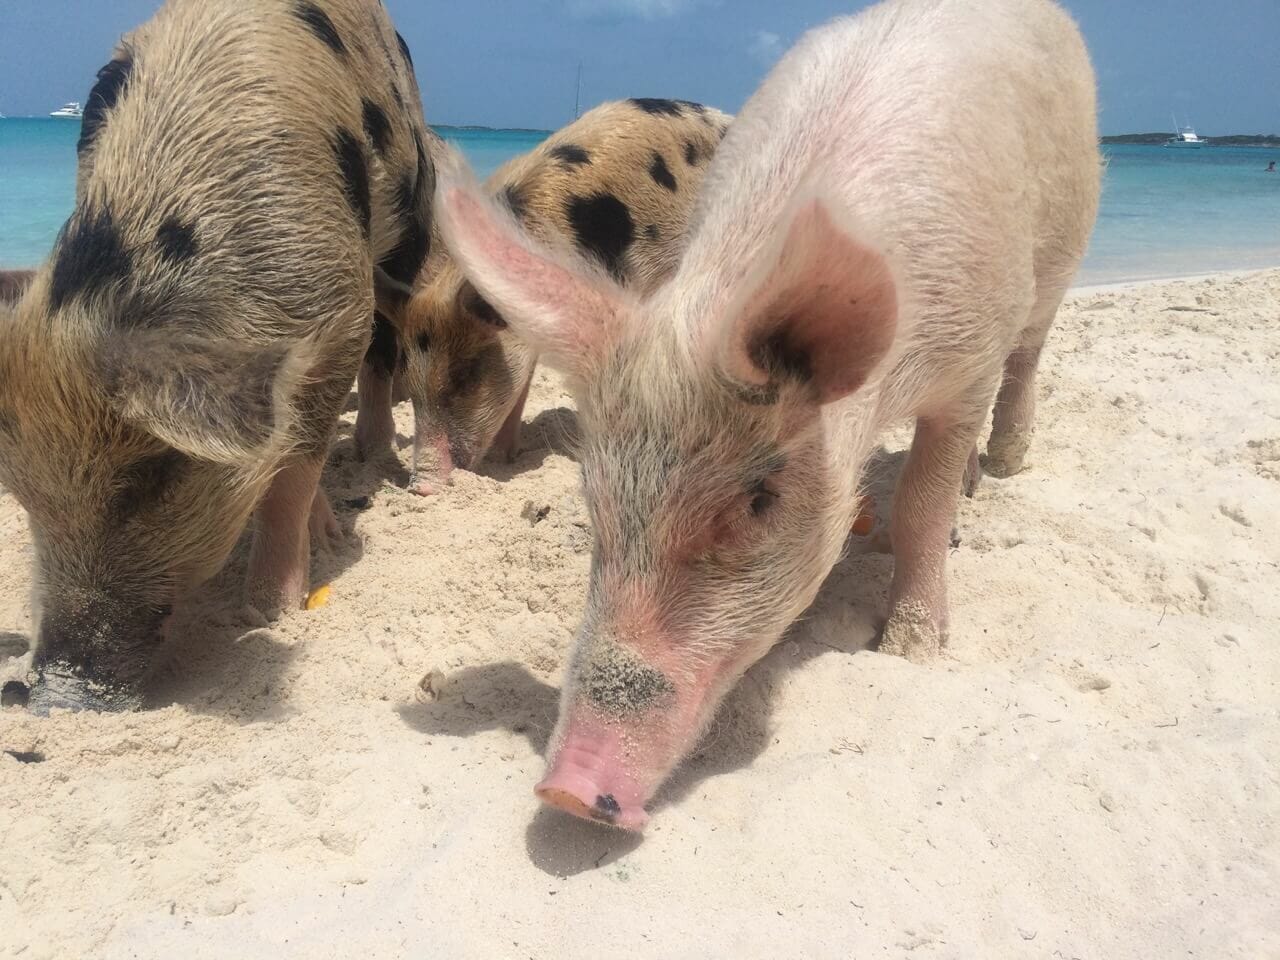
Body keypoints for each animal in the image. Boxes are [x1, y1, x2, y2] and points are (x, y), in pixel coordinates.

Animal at [0, 0, 437, 711]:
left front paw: (269, 611)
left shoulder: (338, 312)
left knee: (387, 341)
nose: (56, 694)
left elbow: (295, 465)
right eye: (21, 494)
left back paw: (369, 454)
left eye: (149, 479)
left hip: (411, 212)